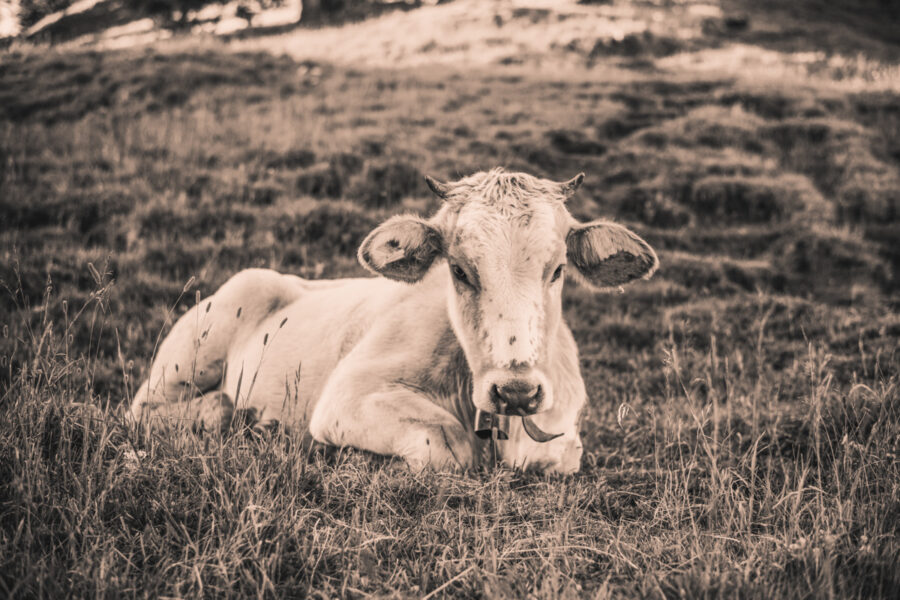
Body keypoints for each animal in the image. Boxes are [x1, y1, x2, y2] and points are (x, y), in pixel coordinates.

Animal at [130, 168, 656, 474]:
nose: (517, 391)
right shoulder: (348, 397)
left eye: (558, 269)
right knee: (152, 410)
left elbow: (552, 455)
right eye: (459, 270)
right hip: (189, 354)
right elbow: (448, 443)